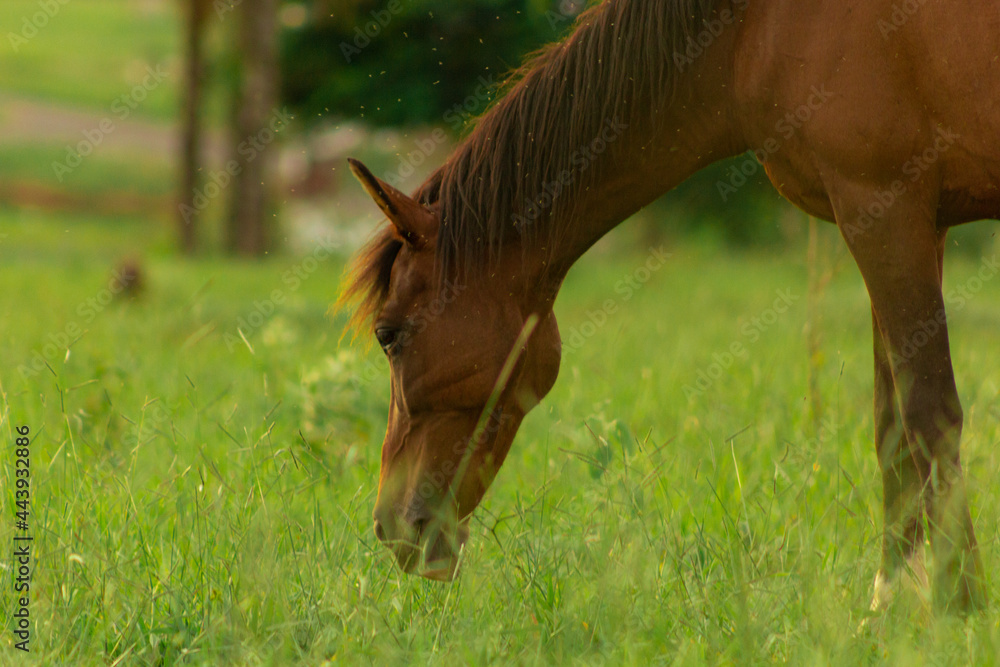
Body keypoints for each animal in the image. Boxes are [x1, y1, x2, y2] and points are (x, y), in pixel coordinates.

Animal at [338, 0, 1000, 616]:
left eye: (388, 335)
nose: (389, 527)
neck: (755, 31)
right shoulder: (905, 223)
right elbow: (893, 425)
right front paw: (894, 601)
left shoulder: (885, 208)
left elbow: (929, 413)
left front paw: (956, 604)